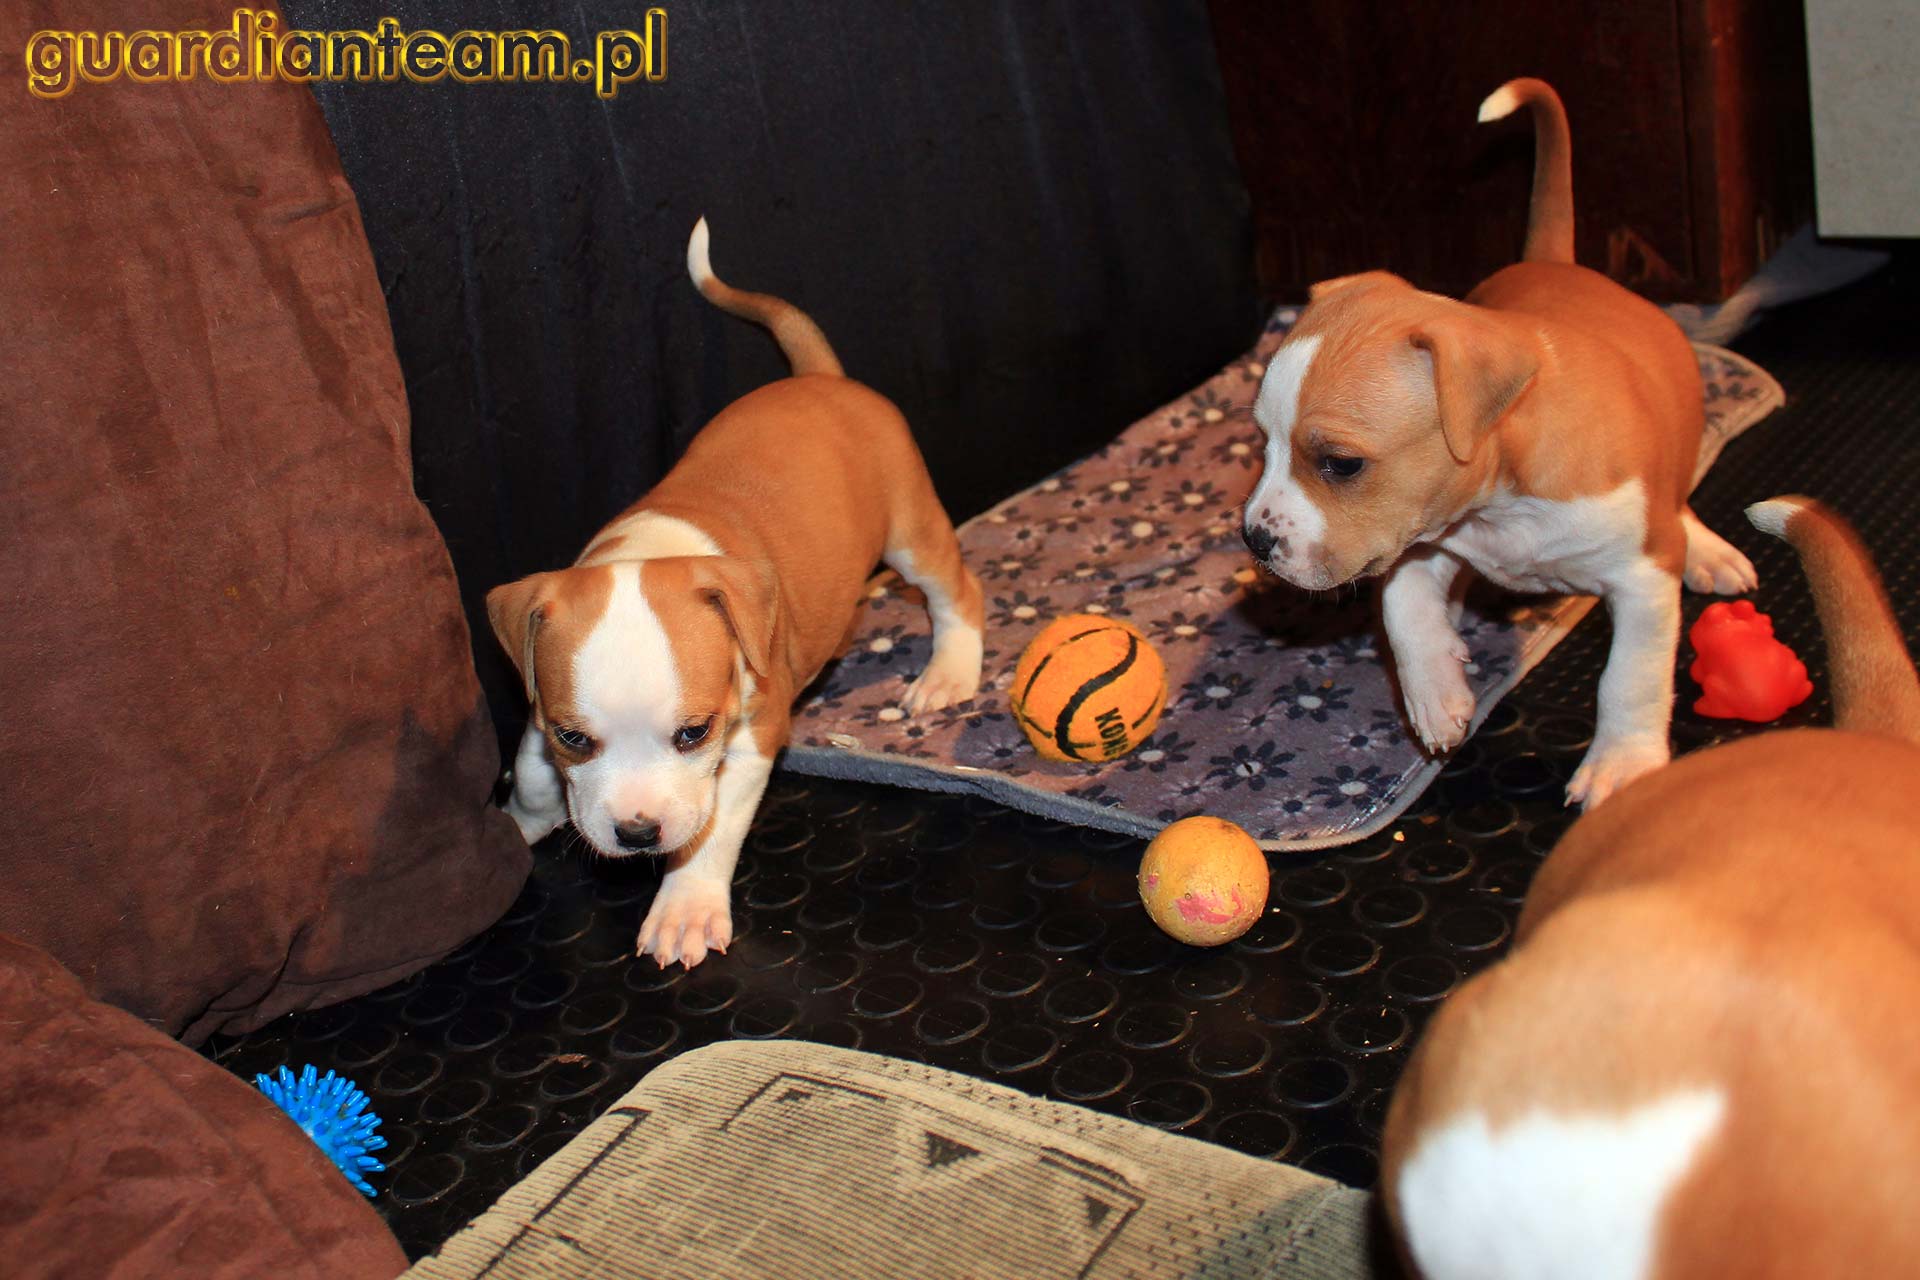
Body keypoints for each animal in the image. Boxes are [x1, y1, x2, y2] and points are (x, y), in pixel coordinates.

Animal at [487, 219, 983, 968]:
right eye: (574, 737)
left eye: (693, 733)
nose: (637, 833)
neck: (651, 550)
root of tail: (819, 378)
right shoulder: (539, 714)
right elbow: (535, 775)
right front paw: (518, 823)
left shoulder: (752, 737)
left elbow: (711, 829)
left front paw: (684, 908)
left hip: (912, 527)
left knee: (958, 589)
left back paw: (949, 671)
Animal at [1239, 78, 1757, 809]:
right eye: (1263, 443)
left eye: (1341, 464)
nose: (1254, 540)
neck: (1505, 503)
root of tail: (1555, 261)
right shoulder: (1421, 537)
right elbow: (1401, 605)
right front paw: (1435, 694)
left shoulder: (1641, 581)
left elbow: (1629, 676)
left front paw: (1621, 765)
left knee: (1676, 506)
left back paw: (1707, 550)